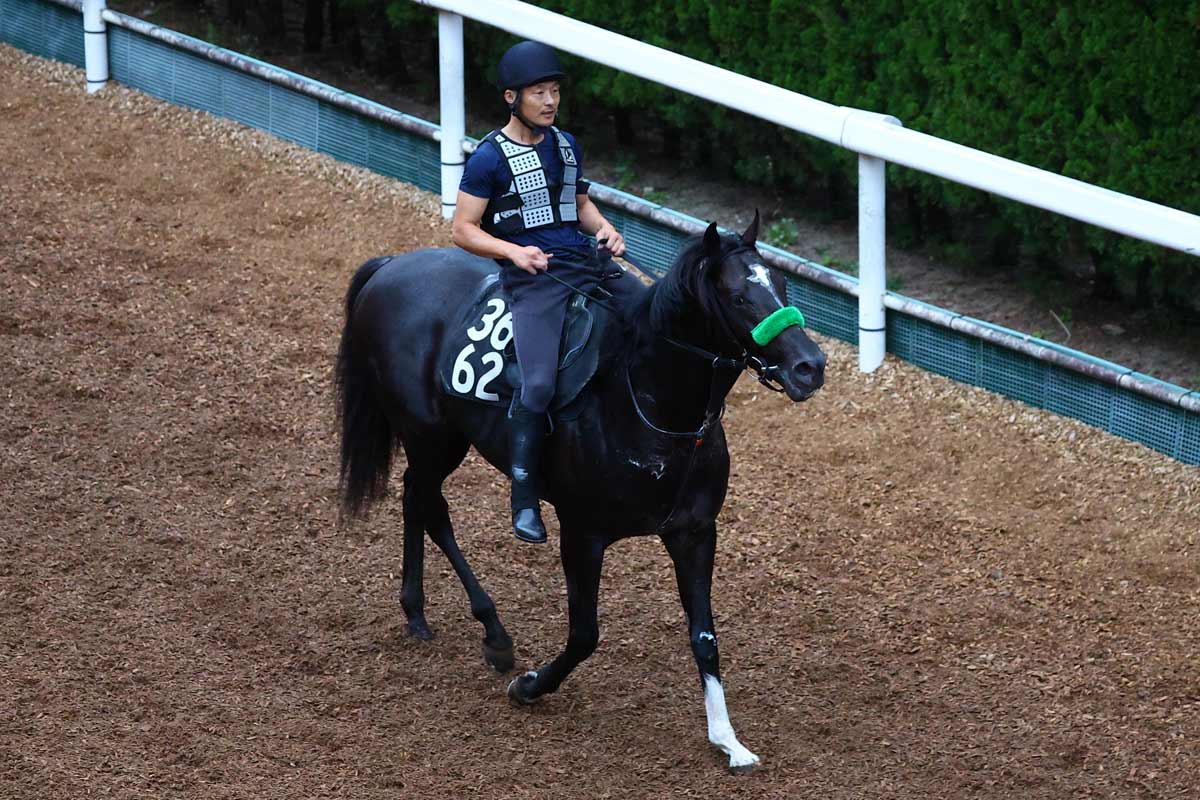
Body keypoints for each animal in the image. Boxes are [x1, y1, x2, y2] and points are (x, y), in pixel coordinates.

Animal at [334, 214, 826, 771]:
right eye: (740, 297)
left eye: (782, 285)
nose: (810, 366)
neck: (648, 405)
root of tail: (391, 266)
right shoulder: (582, 533)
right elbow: (585, 634)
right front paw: (529, 686)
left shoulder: (695, 532)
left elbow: (705, 636)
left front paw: (727, 739)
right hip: (431, 438)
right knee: (430, 506)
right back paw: (493, 634)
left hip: (436, 442)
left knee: (416, 501)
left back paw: (418, 613)